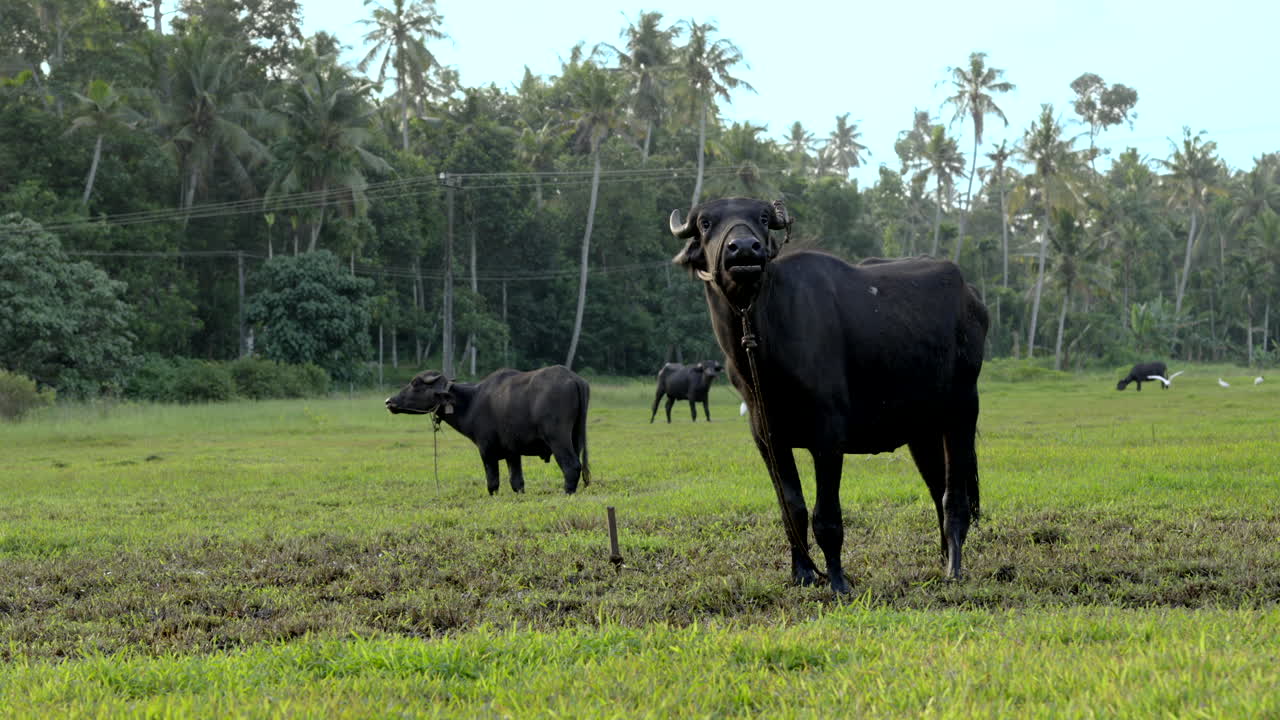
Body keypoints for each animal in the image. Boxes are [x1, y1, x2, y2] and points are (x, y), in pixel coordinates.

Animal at [385, 366, 590, 495]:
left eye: (415, 384)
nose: (389, 401)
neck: (471, 401)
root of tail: (574, 379)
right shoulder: (512, 452)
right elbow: (517, 482)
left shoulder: (486, 450)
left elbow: (492, 482)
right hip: (576, 437)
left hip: (558, 438)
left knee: (571, 466)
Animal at [670, 196, 989, 592]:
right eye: (705, 223)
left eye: (762, 218)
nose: (744, 249)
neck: (764, 340)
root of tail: (972, 299)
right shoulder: (767, 437)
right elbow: (792, 507)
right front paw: (803, 572)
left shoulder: (829, 433)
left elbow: (827, 515)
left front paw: (837, 579)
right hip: (922, 429)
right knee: (936, 488)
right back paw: (943, 557)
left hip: (962, 410)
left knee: (955, 497)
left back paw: (953, 568)